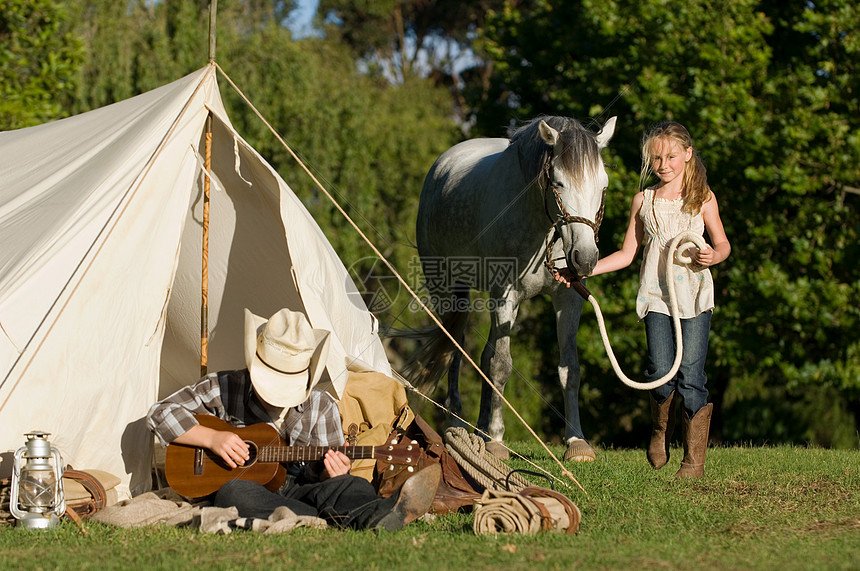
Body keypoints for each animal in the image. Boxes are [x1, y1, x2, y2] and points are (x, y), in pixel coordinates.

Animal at [406, 115, 616, 460]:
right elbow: (501, 365)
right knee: (455, 348)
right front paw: (497, 440)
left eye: (603, 185)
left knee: (483, 355)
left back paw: (479, 427)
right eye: (559, 183)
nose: (585, 258)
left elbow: (569, 368)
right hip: (448, 288)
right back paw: (457, 423)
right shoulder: (503, 293)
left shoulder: (567, 298)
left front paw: (576, 442)